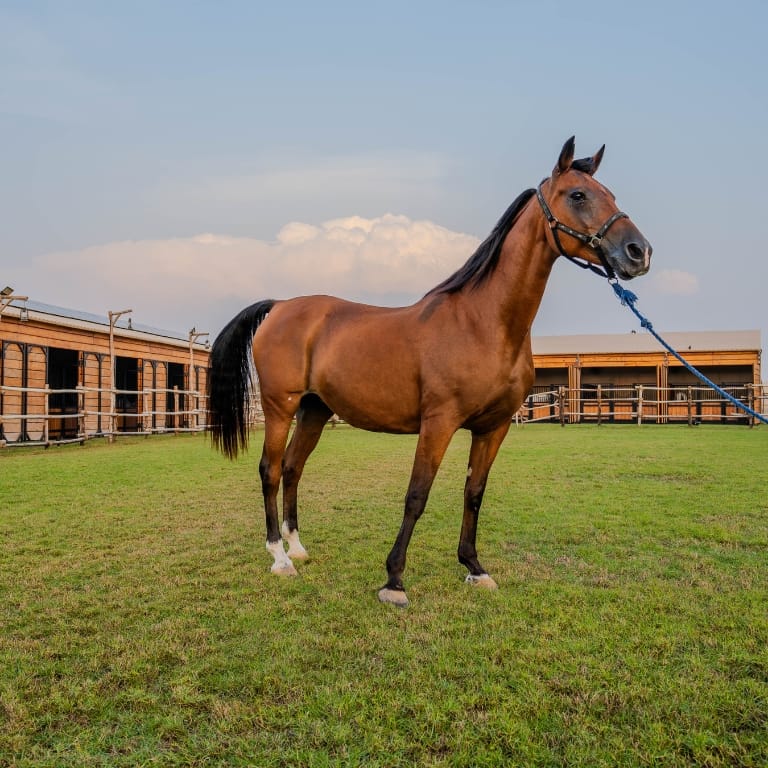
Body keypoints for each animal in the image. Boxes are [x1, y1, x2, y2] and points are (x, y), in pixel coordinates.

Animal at [207, 138, 652, 608]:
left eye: (611, 194)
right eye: (578, 195)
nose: (639, 252)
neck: (482, 323)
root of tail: (280, 306)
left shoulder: (493, 428)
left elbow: (474, 494)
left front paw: (474, 567)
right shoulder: (438, 424)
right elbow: (416, 496)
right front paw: (394, 580)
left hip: (314, 410)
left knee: (293, 468)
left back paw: (297, 548)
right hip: (280, 407)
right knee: (271, 471)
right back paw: (279, 558)